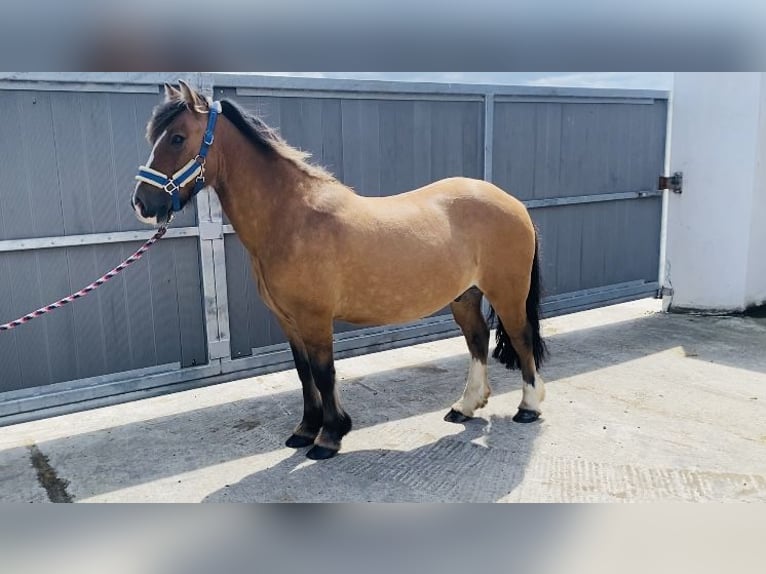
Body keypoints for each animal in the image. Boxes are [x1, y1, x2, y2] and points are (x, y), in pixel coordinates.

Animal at [134, 81, 552, 462]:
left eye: (177, 138)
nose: (141, 203)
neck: (291, 219)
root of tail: (513, 203)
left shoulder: (315, 319)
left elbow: (324, 373)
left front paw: (329, 437)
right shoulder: (289, 320)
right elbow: (304, 374)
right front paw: (306, 430)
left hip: (507, 293)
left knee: (520, 338)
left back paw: (529, 407)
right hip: (465, 296)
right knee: (477, 339)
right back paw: (465, 406)